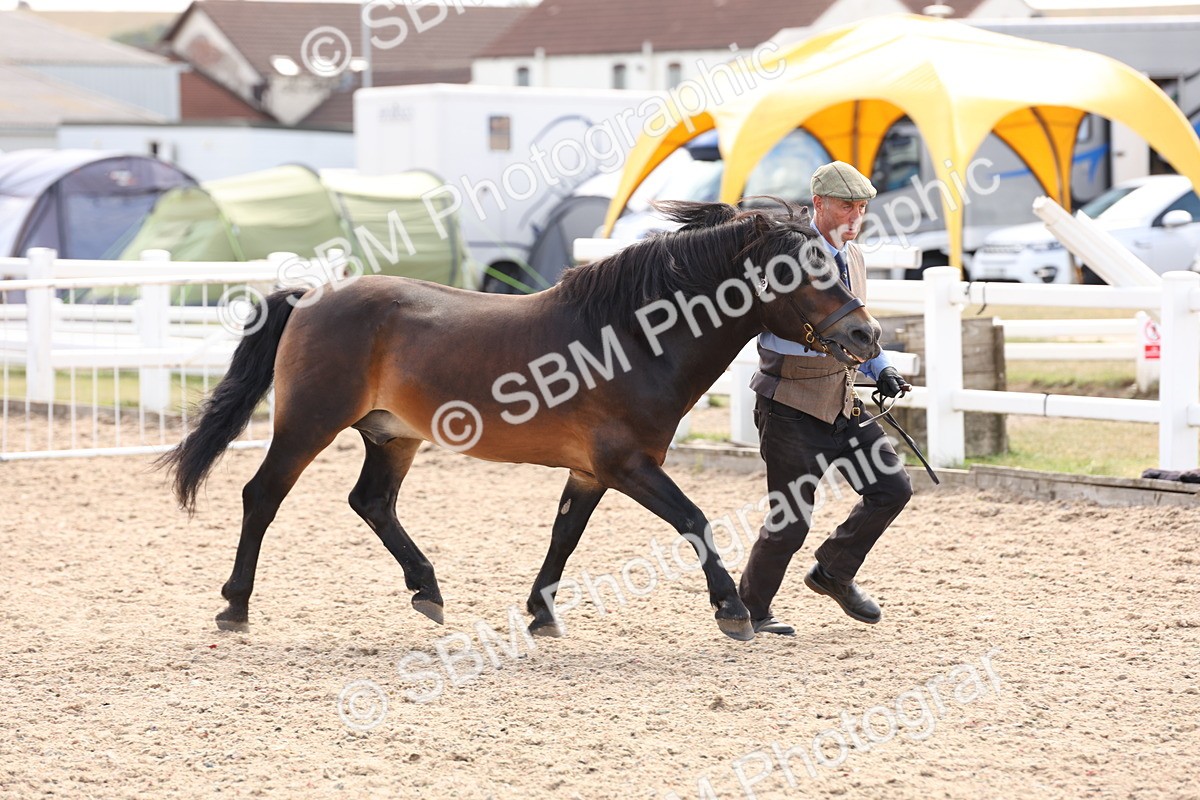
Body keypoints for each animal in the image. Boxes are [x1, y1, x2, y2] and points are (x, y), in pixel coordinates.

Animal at [159, 199, 882, 642]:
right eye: (795, 270)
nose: (868, 335)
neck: (630, 338)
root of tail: (313, 295)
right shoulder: (629, 466)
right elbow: (696, 521)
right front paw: (732, 609)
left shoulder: (593, 472)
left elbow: (564, 537)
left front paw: (540, 614)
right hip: (307, 425)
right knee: (262, 497)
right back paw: (235, 605)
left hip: (392, 435)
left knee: (371, 502)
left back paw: (428, 590)